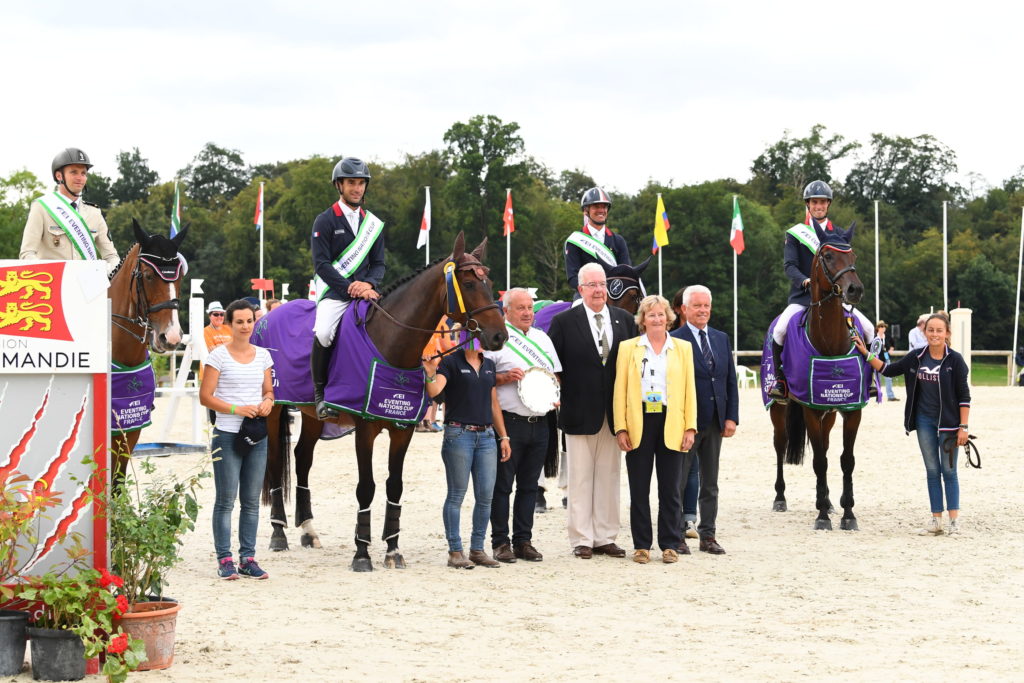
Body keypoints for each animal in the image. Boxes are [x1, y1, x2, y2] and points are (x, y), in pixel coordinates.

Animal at [262, 235, 505, 573]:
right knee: (274, 462)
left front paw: (392, 549)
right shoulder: (365, 430)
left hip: (311, 417)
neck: (392, 344)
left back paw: (309, 531)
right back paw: (278, 534)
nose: (499, 336)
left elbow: (394, 486)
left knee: (302, 458)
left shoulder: (403, 430)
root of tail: (267, 317)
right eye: (468, 284)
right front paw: (362, 554)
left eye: (490, 282)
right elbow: (366, 487)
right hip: (273, 411)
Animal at [765, 227, 868, 532]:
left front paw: (847, 513)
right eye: (828, 256)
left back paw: (829, 501)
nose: (854, 289)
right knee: (780, 445)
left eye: (853, 255)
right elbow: (820, 462)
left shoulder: (851, 409)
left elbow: (846, 460)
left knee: (825, 445)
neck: (831, 342)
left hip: (829, 414)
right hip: (779, 409)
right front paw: (822, 516)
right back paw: (781, 498)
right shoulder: (810, 409)